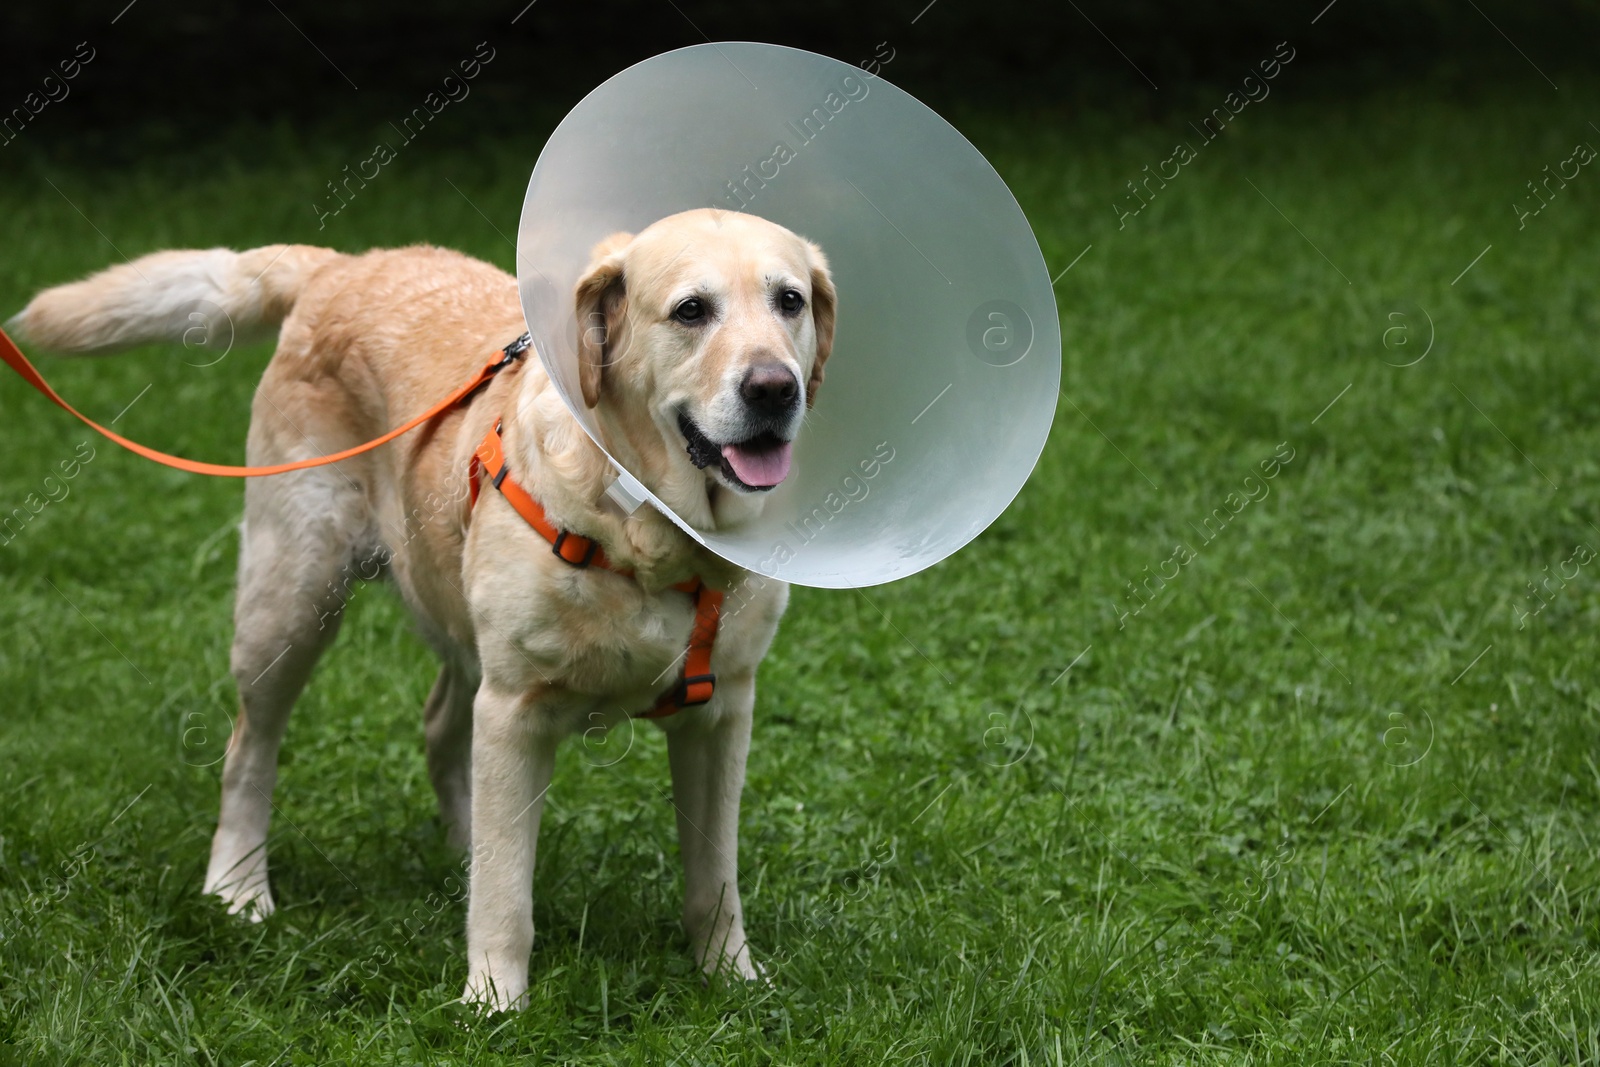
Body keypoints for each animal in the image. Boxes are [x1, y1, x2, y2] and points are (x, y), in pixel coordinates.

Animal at [12, 206, 838, 1011]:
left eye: (789, 301)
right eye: (691, 310)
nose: (775, 388)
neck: (648, 534)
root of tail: (342, 264)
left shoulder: (721, 714)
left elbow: (714, 876)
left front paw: (731, 979)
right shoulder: (515, 706)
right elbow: (506, 897)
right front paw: (494, 1003)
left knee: (444, 726)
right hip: (291, 599)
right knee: (250, 746)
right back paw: (239, 886)